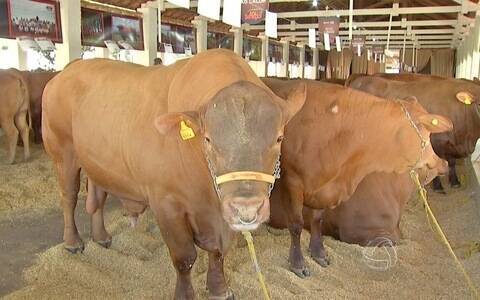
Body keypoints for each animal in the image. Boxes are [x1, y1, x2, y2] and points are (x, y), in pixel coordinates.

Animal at [41, 49, 304, 300]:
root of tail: (70, 69)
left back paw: (101, 236)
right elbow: (184, 258)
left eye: (279, 137)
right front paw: (185, 295)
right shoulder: (166, 204)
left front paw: (220, 289)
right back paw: (73, 241)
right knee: (69, 198)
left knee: (97, 197)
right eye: (208, 139)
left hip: (97, 162)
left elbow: (218, 252)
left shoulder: (221, 217)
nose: (246, 207)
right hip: (63, 154)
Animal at [264, 78, 452, 278]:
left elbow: (317, 219)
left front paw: (319, 253)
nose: (443, 162)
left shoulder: (323, 188)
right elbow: (296, 224)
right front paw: (298, 263)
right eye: (429, 132)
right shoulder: (292, 180)